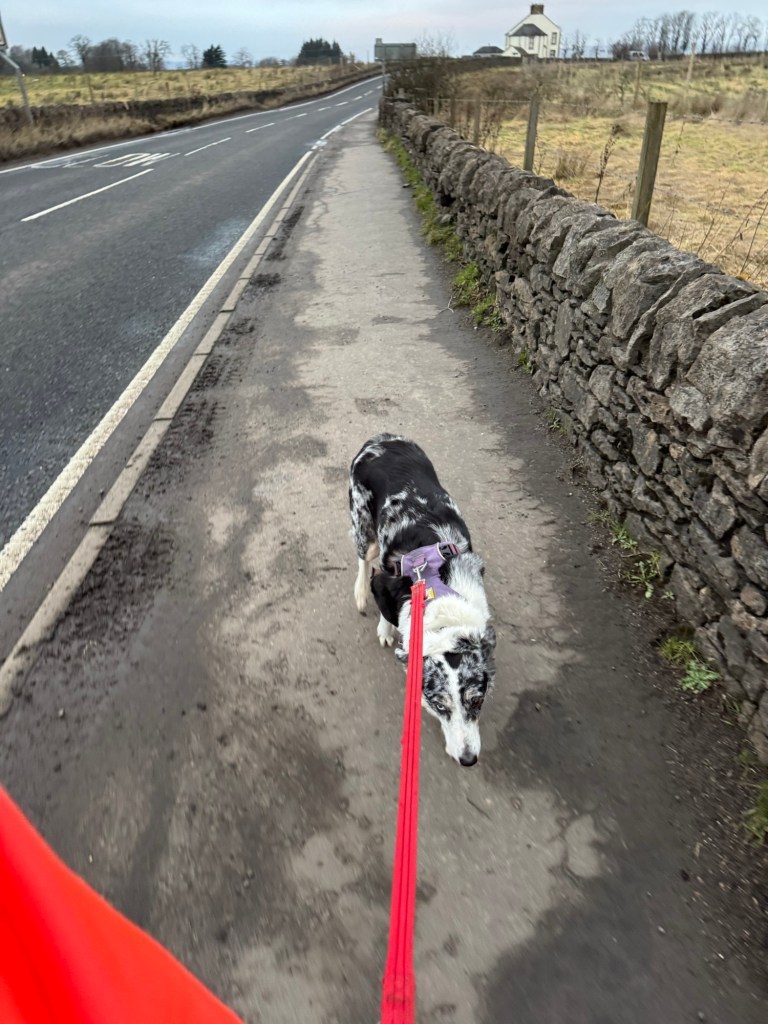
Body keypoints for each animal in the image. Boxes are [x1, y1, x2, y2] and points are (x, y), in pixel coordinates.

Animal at [349, 434, 496, 767]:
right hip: (362, 523)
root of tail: (381, 438)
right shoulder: (386, 583)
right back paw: (360, 592)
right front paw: (384, 630)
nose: (468, 760)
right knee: (364, 558)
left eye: (477, 700)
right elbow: (385, 610)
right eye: (438, 705)